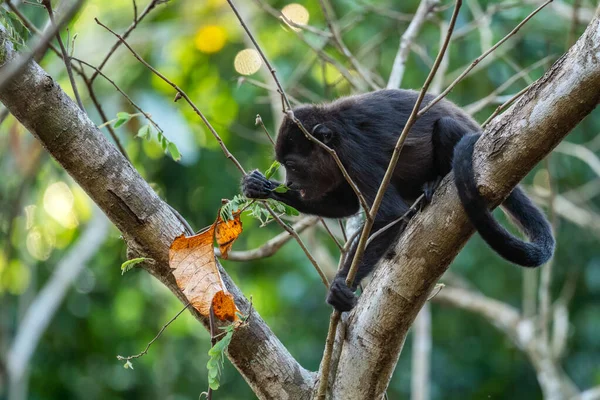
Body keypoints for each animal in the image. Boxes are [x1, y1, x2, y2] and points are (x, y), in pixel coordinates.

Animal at [241, 90, 556, 312]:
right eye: (284, 166)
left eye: (293, 165)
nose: (290, 182)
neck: (333, 137)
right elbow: (347, 205)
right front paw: (261, 186)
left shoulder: (354, 152)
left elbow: (389, 214)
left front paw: (341, 285)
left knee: (446, 127)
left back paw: (433, 184)